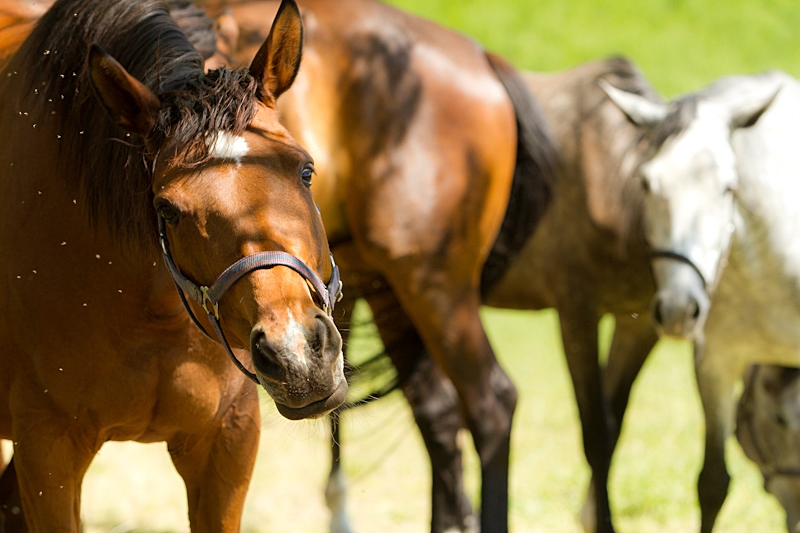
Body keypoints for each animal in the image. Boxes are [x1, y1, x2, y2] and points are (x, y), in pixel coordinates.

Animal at [203, 2, 560, 528]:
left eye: (305, 173)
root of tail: (481, 58)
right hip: (394, 290)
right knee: (438, 412)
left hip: (434, 286)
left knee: (490, 403)